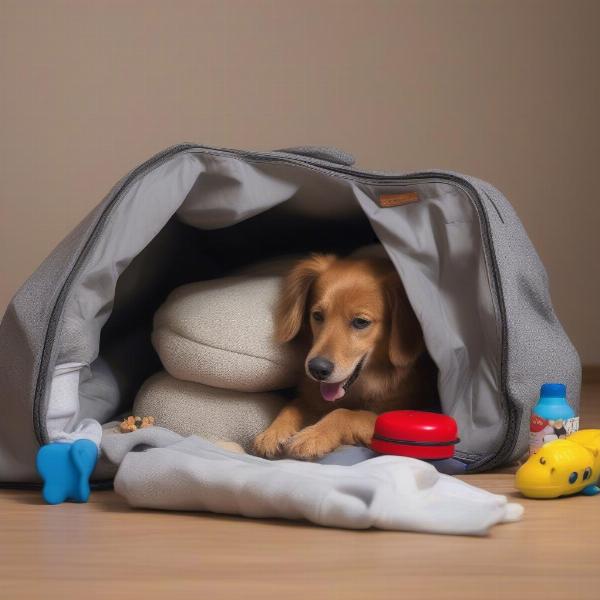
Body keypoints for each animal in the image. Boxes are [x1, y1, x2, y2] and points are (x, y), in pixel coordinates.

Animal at [253, 253, 436, 460]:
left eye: (361, 322)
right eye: (317, 316)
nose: (317, 369)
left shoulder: (387, 415)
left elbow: (345, 413)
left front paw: (314, 435)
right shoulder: (314, 398)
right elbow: (293, 406)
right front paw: (274, 432)